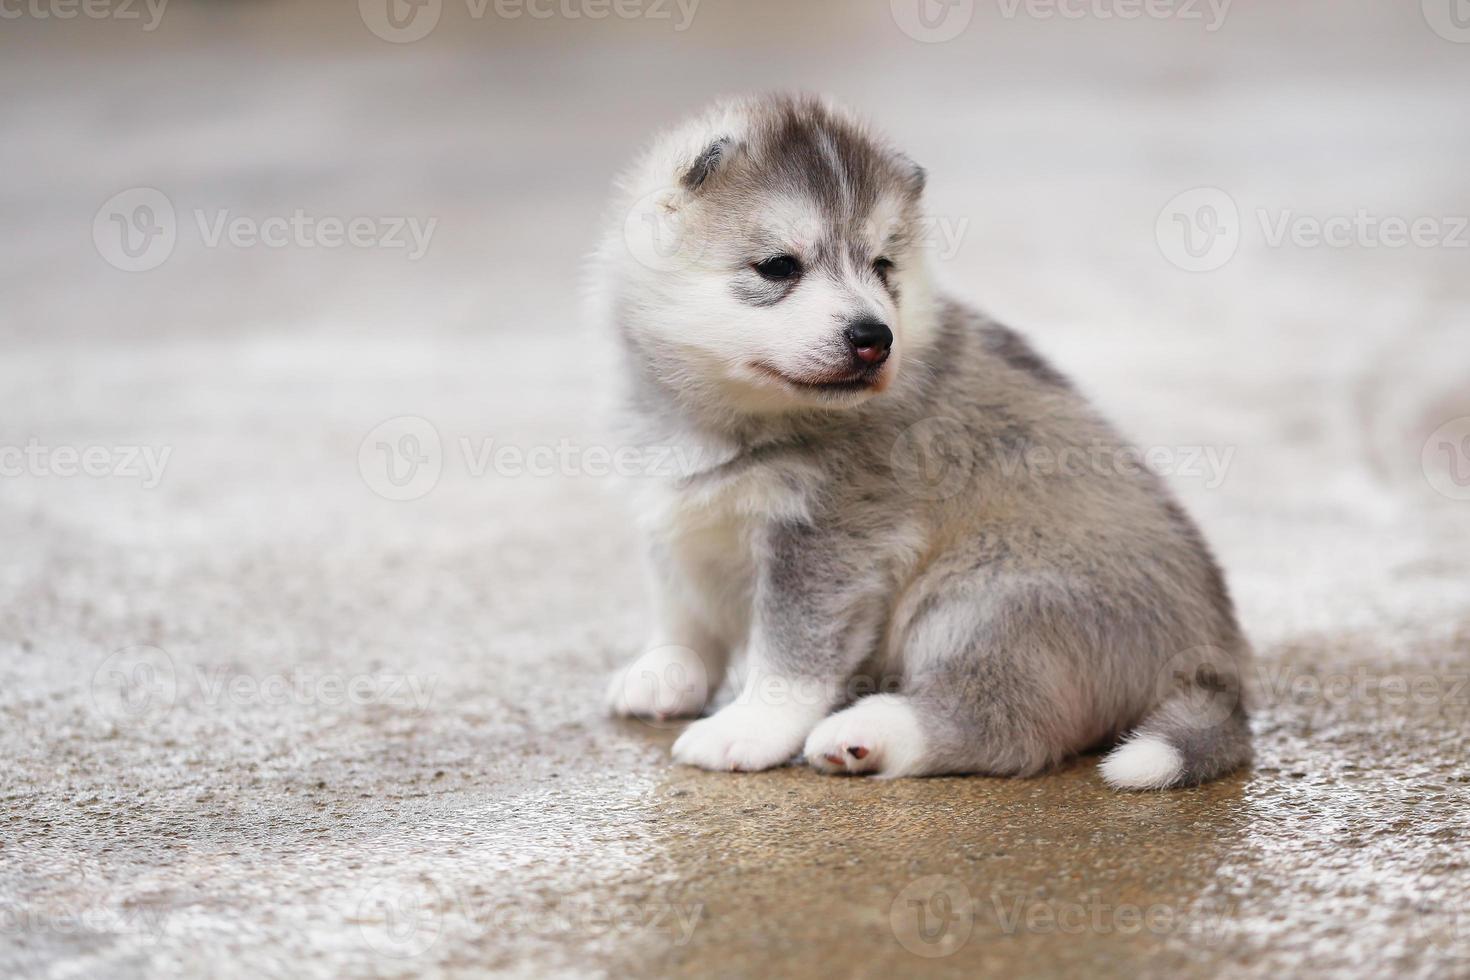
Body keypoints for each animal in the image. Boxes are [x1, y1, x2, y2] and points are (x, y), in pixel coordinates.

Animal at [593, 95, 1252, 793]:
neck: (733, 416)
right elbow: (682, 608)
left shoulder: (827, 544)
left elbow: (791, 655)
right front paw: (665, 673)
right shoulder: (673, 511)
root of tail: (1216, 666)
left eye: (883, 266)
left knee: (1006, 726)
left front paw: (748, 728)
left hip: (987, 598)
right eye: (778, 267)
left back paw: (868, 734)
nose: (873, 337)